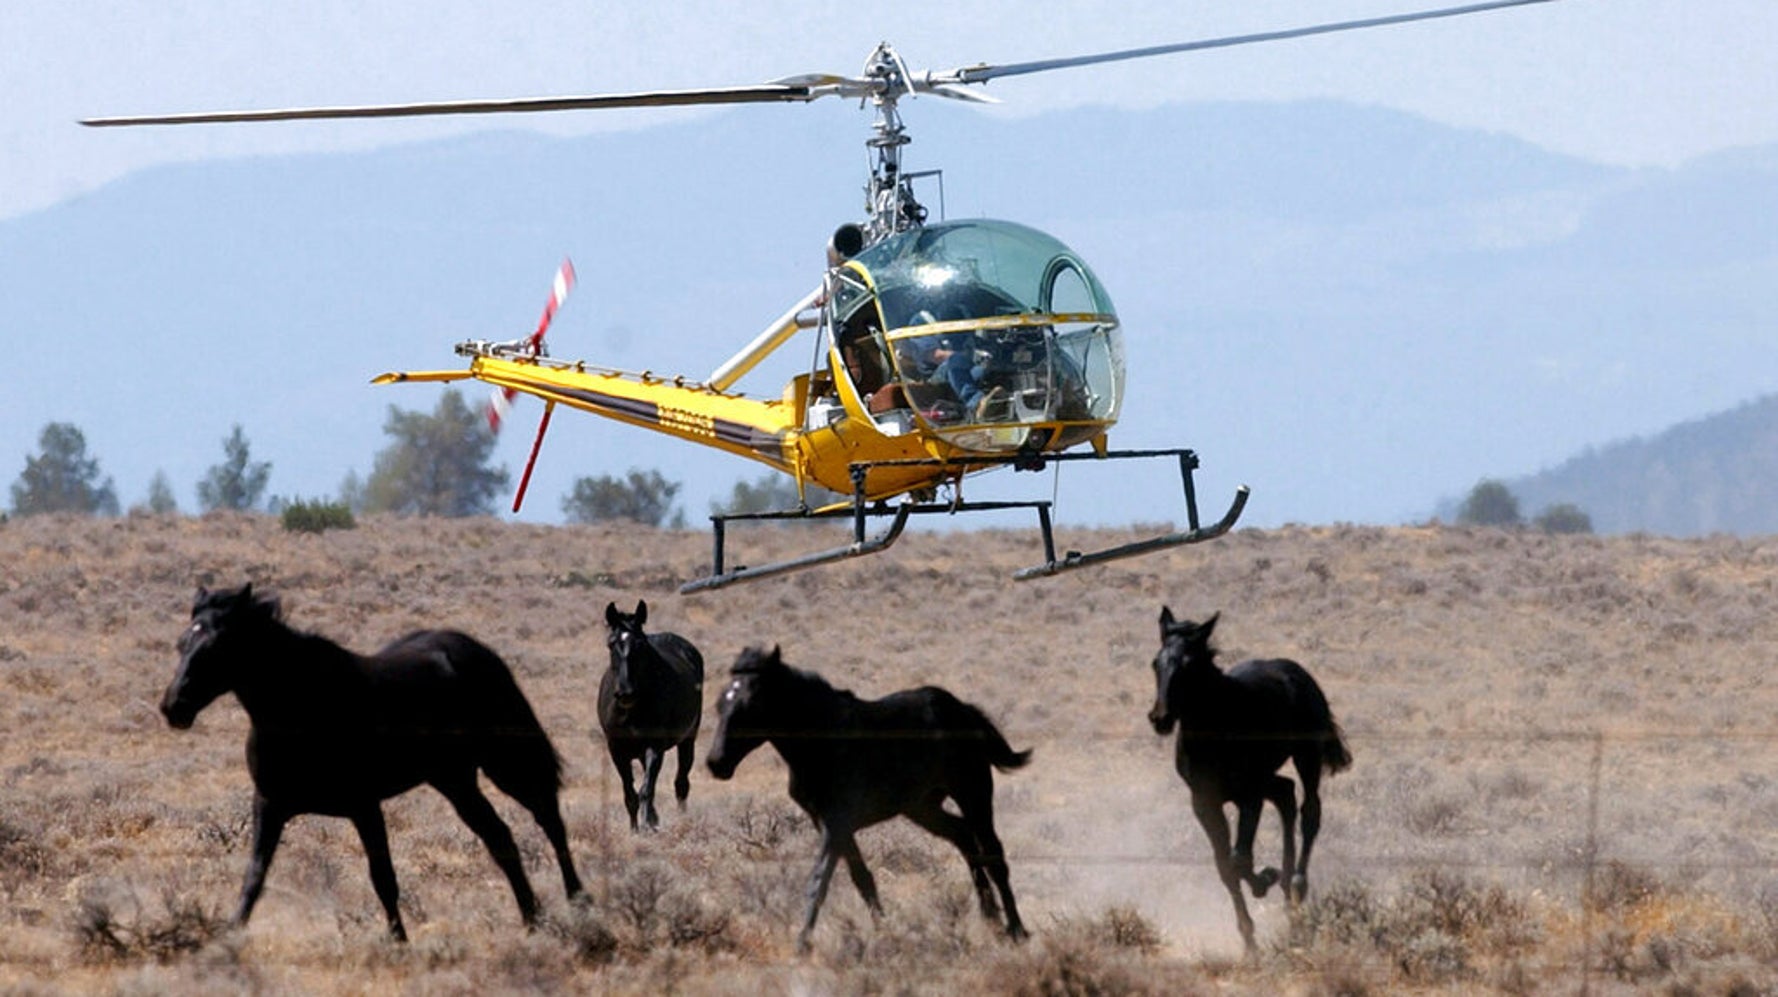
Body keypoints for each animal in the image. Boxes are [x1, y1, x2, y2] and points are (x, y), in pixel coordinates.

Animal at [159, 583, 584, 940]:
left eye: (217, 646)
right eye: (182, 642)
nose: (173, 707)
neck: (301, 707)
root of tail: (473, 649)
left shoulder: (364, 806)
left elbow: (383, 878)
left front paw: (399, 942)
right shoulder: (269, 804)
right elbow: (255, 875)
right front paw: (231, 935)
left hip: (507, 764)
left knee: (549, 819)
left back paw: (579, 901)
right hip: (455, 780)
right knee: (502, 839)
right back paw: (531, 919)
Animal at [596, 600, 704, 831]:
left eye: (640, 645)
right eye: (611, 644)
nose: (626, 693)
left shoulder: (654, 746)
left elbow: (646, 790)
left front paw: (646, 826)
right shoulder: (616, 750)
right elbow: (630, 793)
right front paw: (635, 829)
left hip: (688, 740)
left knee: (681, 783)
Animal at [705, 645, 1030, 951]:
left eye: (750, 705)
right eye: (721, 703)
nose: (716, 763)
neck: (822, 743)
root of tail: (963, 709)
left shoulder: (837, 821)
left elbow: (819, 880)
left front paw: (802, 944)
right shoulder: (828, 822)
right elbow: (861, 878)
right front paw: (886, 932)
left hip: (972, 792)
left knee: (993, 853)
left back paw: (1017, 930)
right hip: (922, 806)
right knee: (963, 836)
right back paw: (991, 919)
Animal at [1147, 608, 1352, 953]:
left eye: (1189, 664)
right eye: (1155, 662)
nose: (1160, 718)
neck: (1215, 732)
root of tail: (1296, 671)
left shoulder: (1249, 796)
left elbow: (1240, 858)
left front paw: (1265, 879)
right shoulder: (1204, 803)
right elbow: (1225, 866)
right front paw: (1249, 941)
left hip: (1306, 756)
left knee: (1309, 810)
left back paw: (1295, 886)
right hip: (1268, 776)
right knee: (1285, 792)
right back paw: (1286, 887)